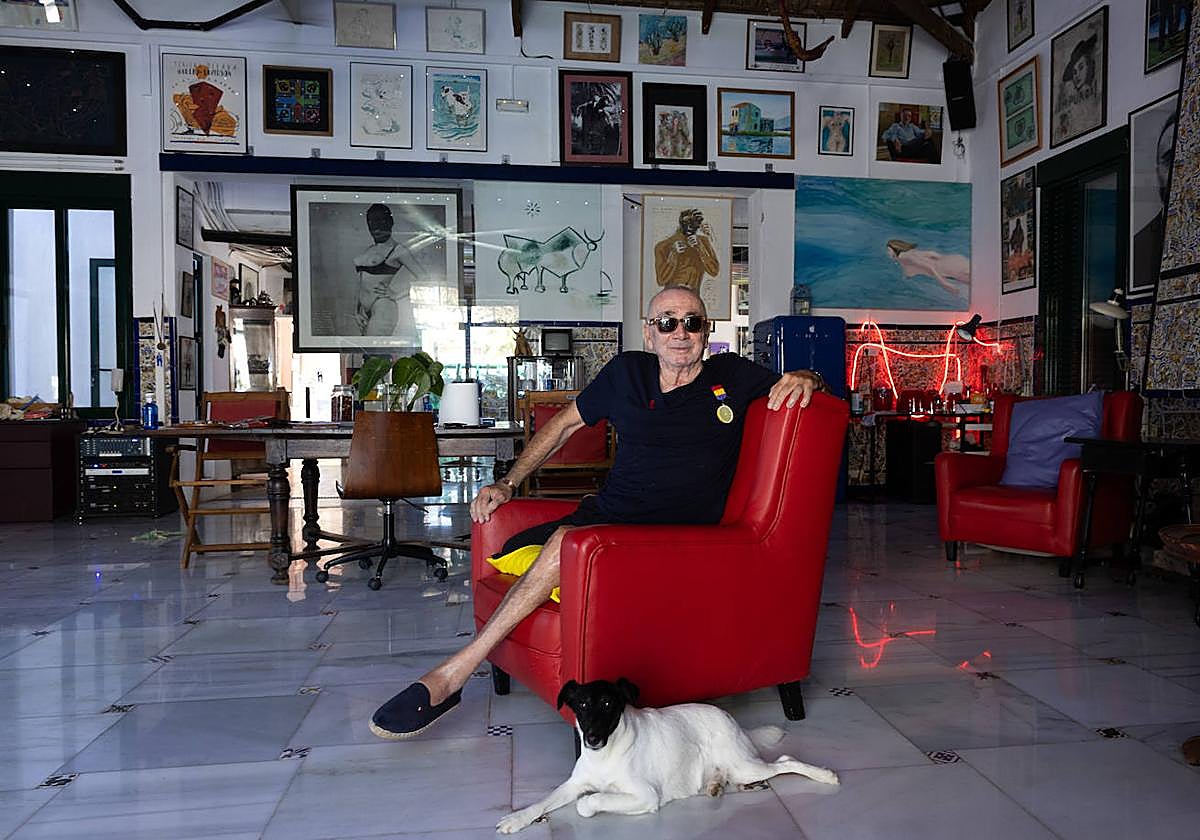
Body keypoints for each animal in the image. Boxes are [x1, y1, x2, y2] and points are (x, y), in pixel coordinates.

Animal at [496, 678, 838, 833]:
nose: (592, 739)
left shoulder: (645, 795)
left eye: (608, 704)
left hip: (745, 765)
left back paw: (824, 775)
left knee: (785, 762)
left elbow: (589, 802)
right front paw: (517, 818)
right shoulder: (574, 784)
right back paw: (716, 785)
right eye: (581, 705)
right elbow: (543, 802)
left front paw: (591, 803)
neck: (606, 755)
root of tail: (732, 721)